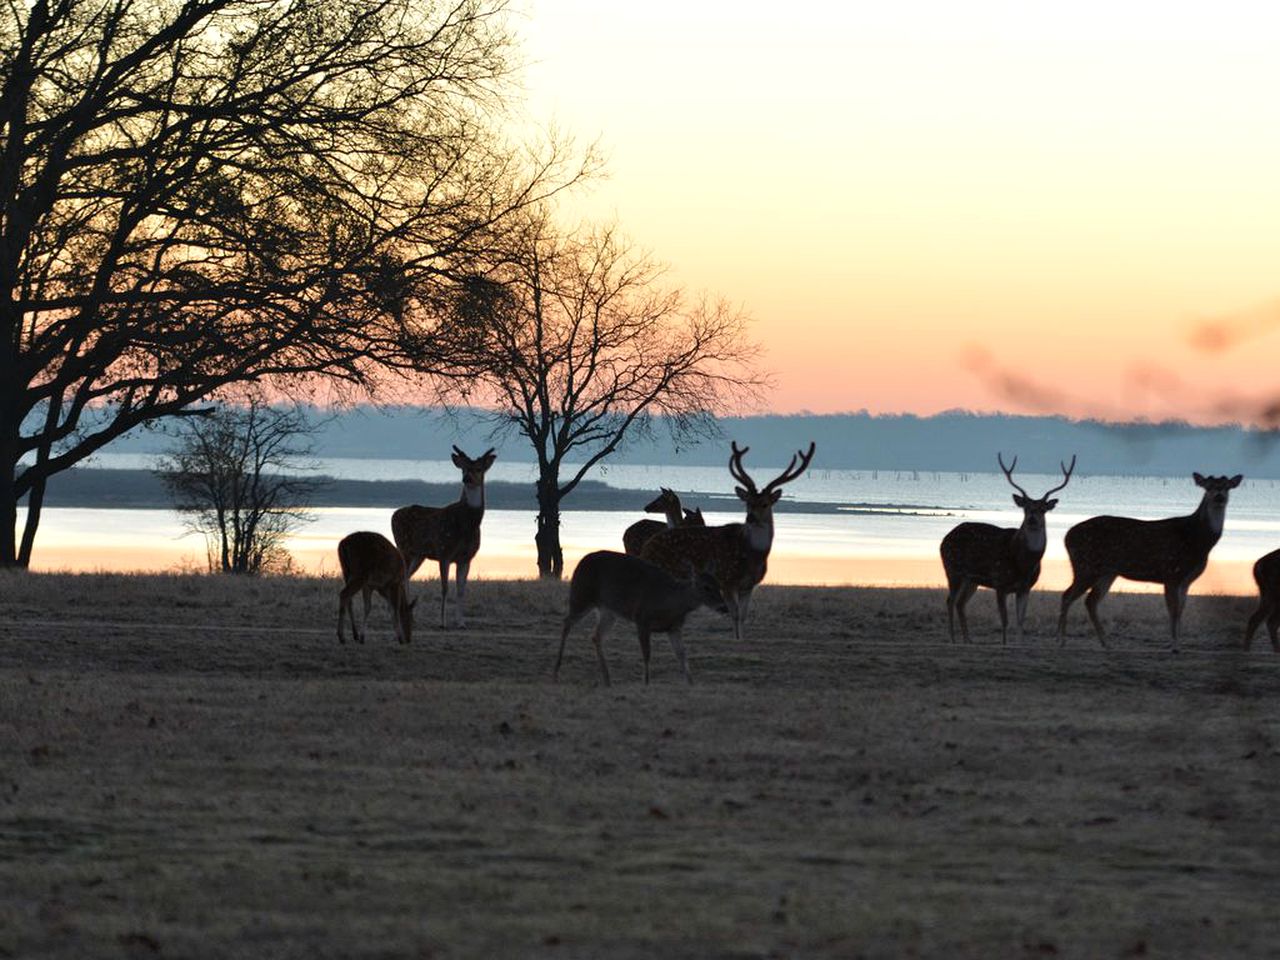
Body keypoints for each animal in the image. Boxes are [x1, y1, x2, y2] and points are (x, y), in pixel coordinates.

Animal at [389, 450, 494, 632]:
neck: (466, 526)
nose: (467, 478)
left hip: (418, 554)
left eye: (479, 469)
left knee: (405, 577)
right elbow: (445, 588)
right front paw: (442, 622)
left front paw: (461, 622)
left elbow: (461, 590)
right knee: (401, 577)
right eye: (464, 468)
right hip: (404, 547)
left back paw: (409, 617)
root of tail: (393, 515)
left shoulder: (466, 558)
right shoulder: (444, 552)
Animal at [550, 552, 711, 686]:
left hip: (608, 611)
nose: (719, 606)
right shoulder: (642, 619)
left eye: (715, 583)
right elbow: (647, 653)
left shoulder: (674, 627)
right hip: (581, 595)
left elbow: (682, 654)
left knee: (596, 636)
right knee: (567, 622)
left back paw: (607, 679)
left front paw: (691, 682)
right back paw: (556, 672)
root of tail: (579, 564)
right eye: (705, 587)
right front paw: (646, 682)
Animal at [640, 442, 819, 640]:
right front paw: (736, 639)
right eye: (747, 503)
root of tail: (647, 547)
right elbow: (734, 614)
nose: (750, 518)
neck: (753, 555)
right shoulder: (726, 579)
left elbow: (743, 615)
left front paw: (742, 639)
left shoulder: (749, 586)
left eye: (765, 503)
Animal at [936, 453, 1075, 647]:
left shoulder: (1025, 587)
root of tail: (945, 539)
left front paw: (1020, 644)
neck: (1023, 563)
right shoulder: (999, 581)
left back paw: (968, 639)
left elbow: (1020, 620)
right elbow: (1005, 619)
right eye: (1025, 507)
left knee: (960, 603)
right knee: (950, 600)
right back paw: (953, 638)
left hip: (971, 579)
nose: (1032, 519)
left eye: (1042, 509)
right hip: (953, 569)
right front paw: (1004, 643)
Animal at [1054, 473, 1244, 655]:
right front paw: (1174, 647)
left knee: (1090, 601)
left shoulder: (1186, 581)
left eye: (1226, 486)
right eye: (1208, 486)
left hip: (1107, 572)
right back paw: (1061, 641)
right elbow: (1173, 612)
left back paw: (1107, 643)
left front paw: (1179, 645)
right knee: (1067, 595)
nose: (1219, 496)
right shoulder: (1171, 574)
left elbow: (1180, 612)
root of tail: (1067, 536)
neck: (1197, 541)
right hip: (1086, 566)